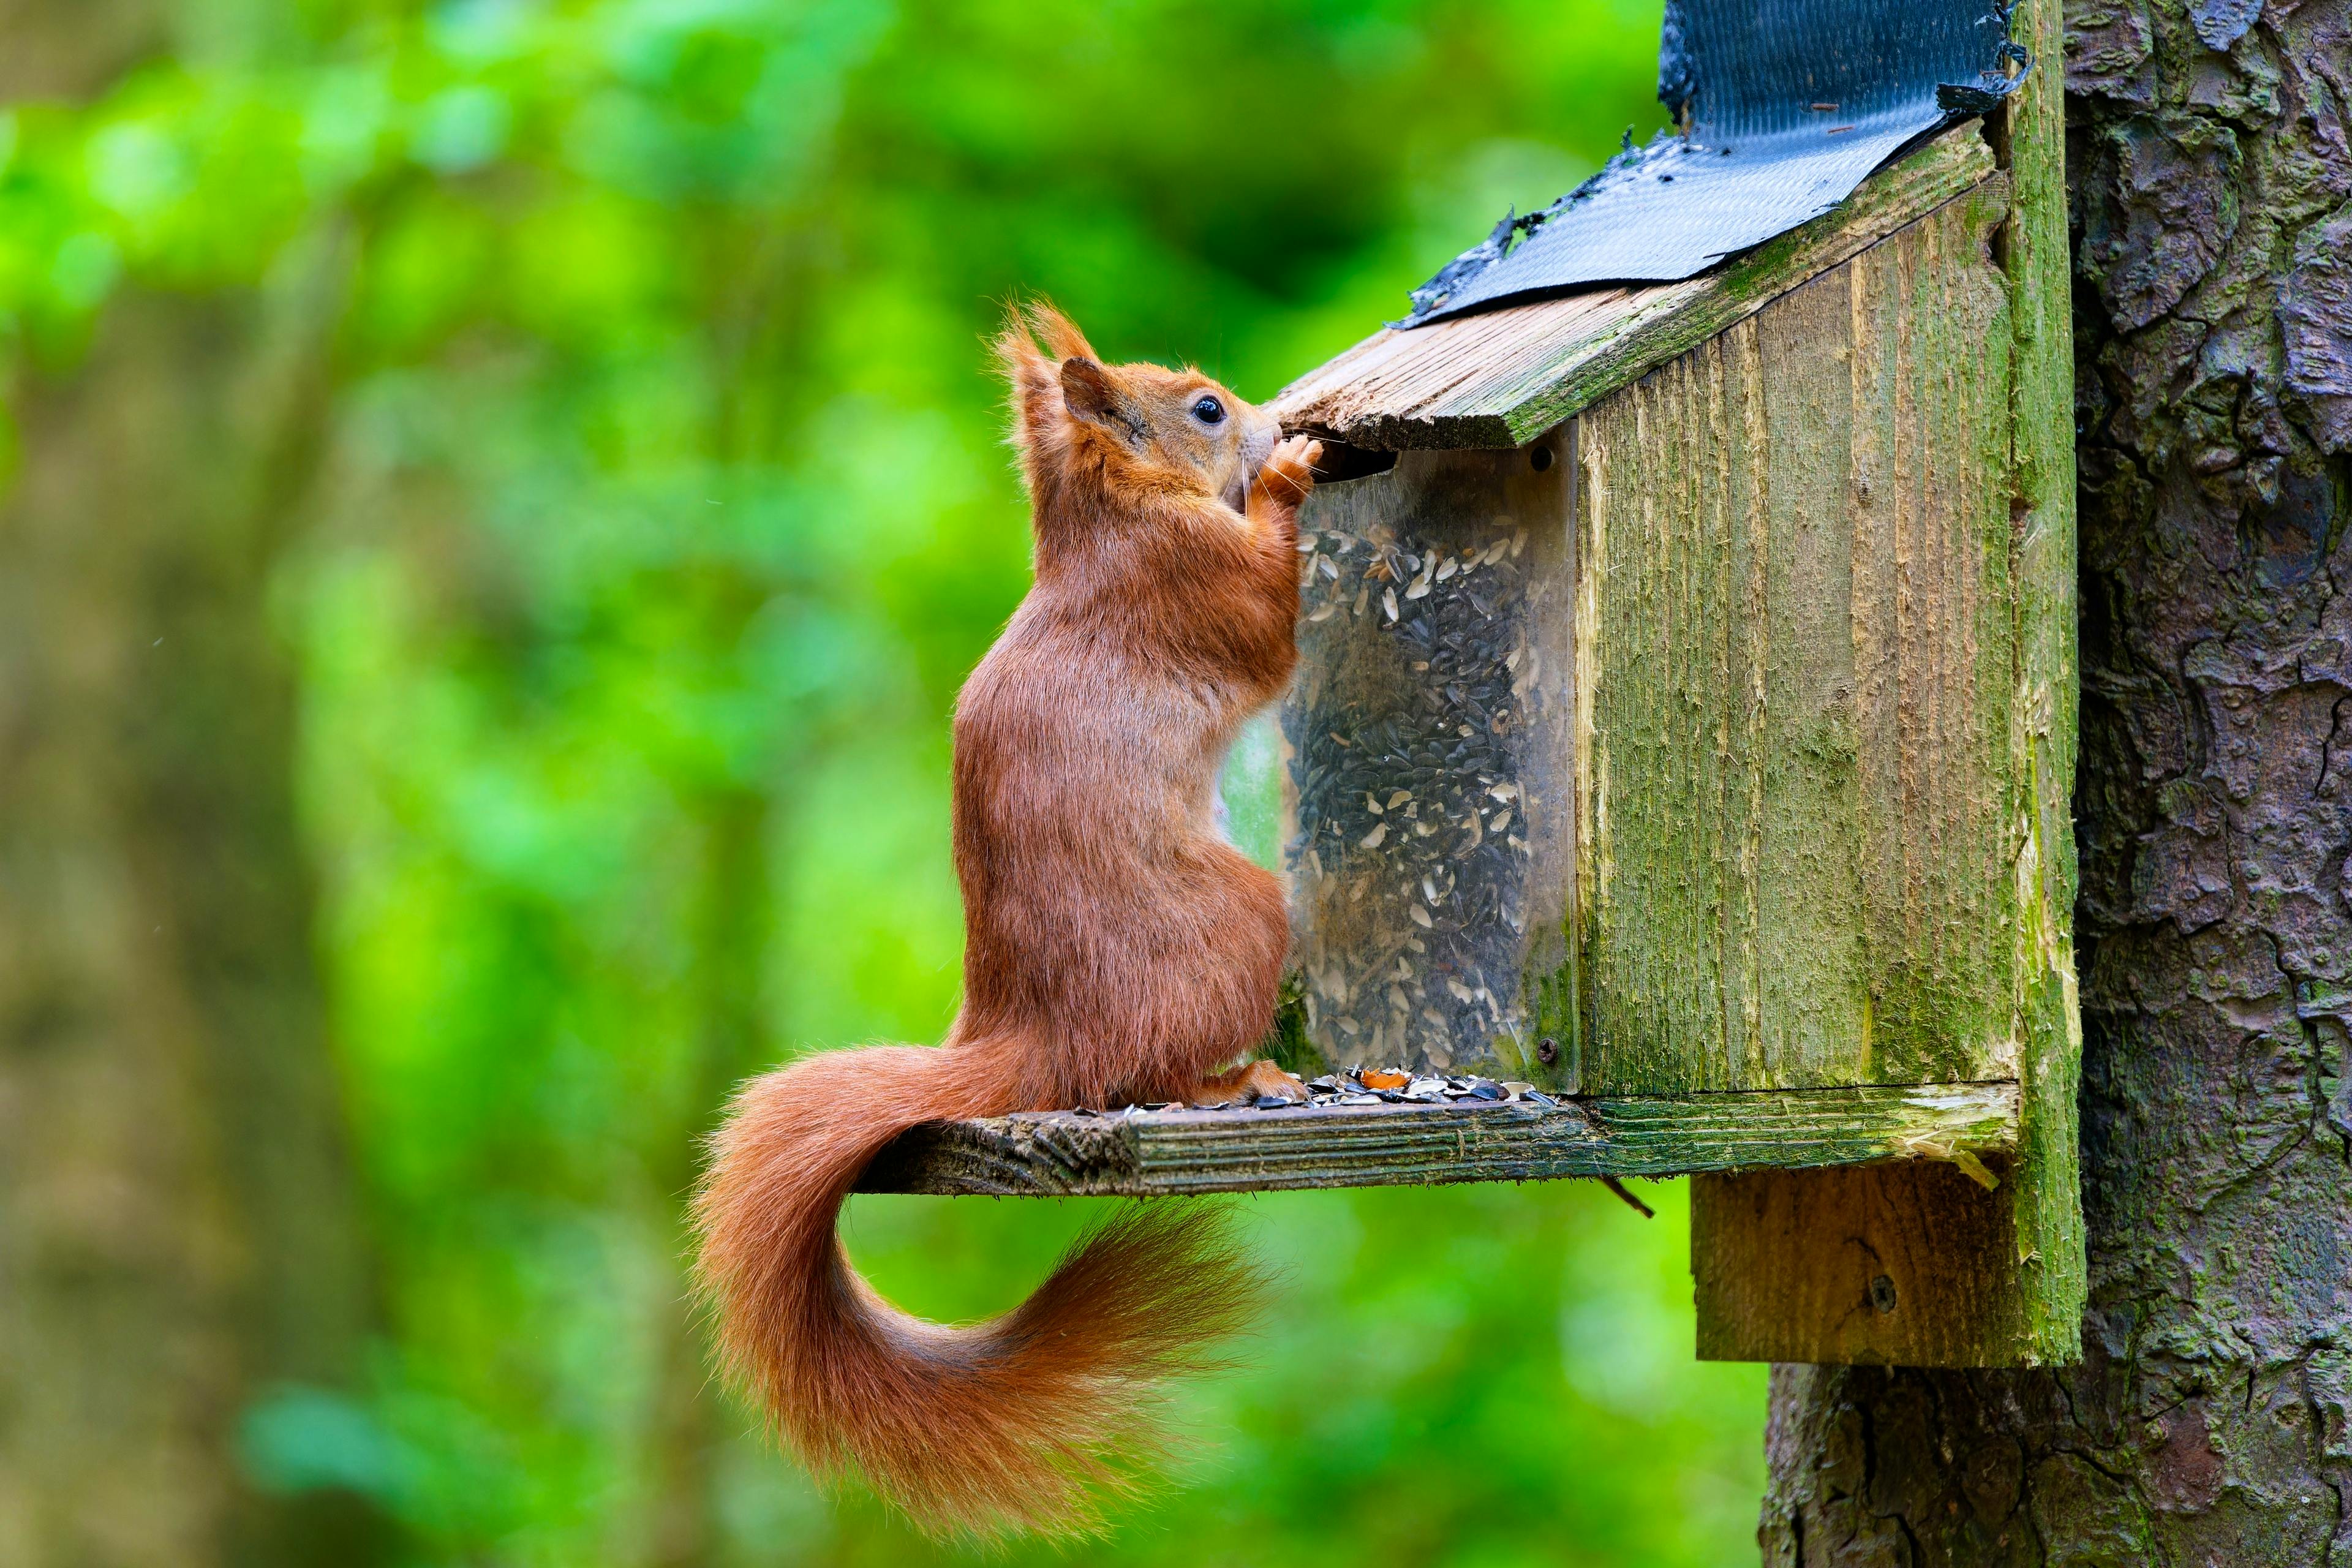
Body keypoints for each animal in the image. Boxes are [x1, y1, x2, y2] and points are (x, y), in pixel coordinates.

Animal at [692, 302, 1323, 1539]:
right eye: (1207, 408)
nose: (1281, 415)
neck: (1117, 519)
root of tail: (1027, 1034)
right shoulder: (1196, 583)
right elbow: (1269, 617)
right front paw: (1290, 475)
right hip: (1242, 927)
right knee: (1150, 1074)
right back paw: (1240, 1082)